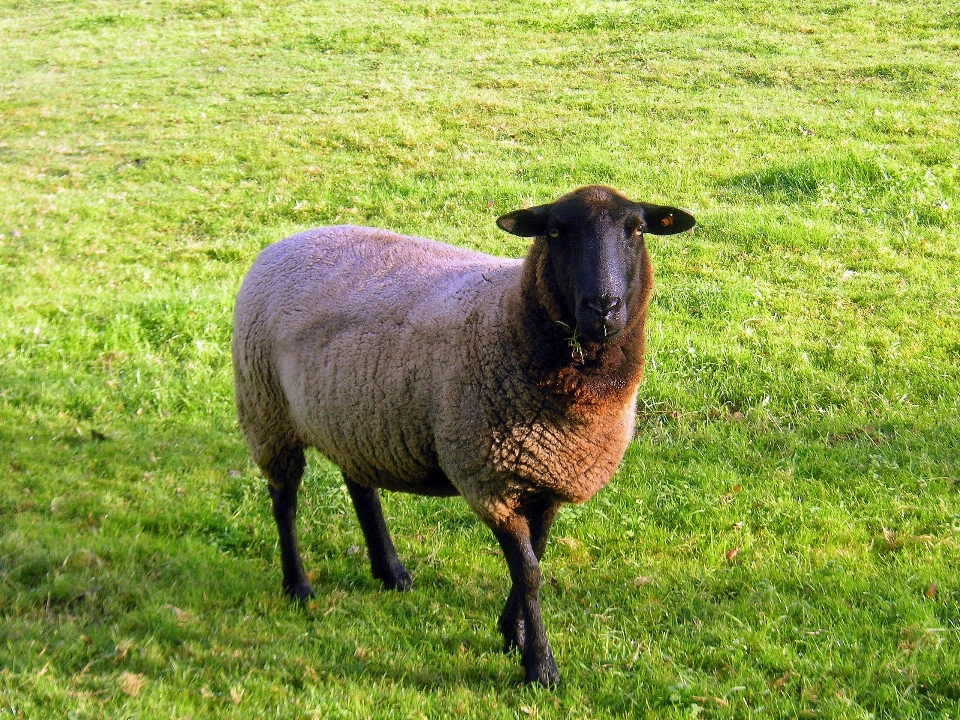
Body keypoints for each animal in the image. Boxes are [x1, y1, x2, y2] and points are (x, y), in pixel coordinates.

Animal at [232, 186, 696, 688]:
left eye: (637, 230)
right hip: (268, 412)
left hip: (355, 416)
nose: (603, 307)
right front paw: (540, 666)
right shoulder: (490, 481)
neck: (513, 321)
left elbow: (535, 558)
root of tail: (287, 241)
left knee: (361, 488)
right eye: (555, 231)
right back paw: (298, 586)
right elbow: (529, 573)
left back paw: (390, 572)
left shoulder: (548, 475)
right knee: (284, 503)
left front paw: (513, 634)